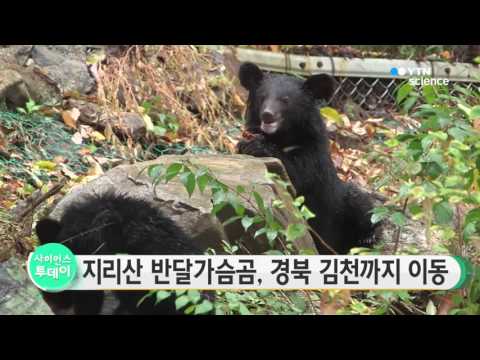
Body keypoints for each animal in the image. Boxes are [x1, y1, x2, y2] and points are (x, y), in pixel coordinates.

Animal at [238, 62, 376, 253]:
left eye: (285, 100)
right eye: (263, 97)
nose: (267, 115)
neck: (283, 137)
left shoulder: (313, 153)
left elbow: (300, 174)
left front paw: (258, 146)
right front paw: (247, 144)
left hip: (345, 205)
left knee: (363, 206)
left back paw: (366, 239)